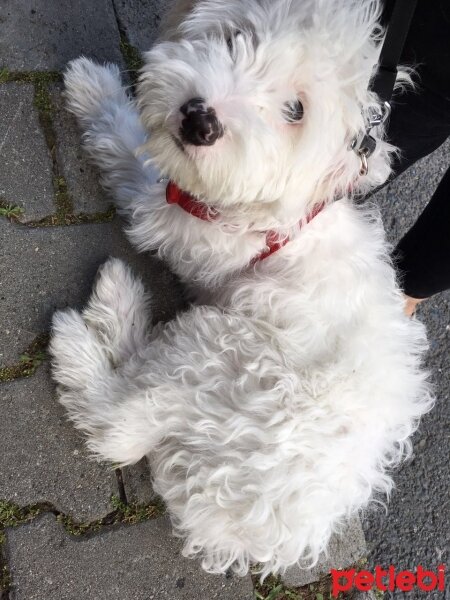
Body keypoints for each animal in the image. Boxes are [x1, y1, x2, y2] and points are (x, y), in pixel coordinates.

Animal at [49, 1, 432, 580]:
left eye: (295, 110)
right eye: (236, 37)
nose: (199, 121)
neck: (281, 210)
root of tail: (250, 531)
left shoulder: (173, 213)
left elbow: (128, 149)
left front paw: (92, 88)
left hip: (220, 348)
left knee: (116, 426)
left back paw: (95, 320)